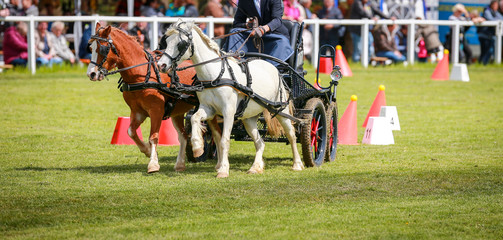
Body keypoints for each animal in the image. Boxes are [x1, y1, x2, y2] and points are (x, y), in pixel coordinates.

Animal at [86, 23, 217, 173]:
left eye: (102, 48)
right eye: (90, 47)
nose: (91, 74)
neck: (141, 74)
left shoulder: (156, 111)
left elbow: (153, 137)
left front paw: (153, 164)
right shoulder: (137, 112)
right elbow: (131, 132)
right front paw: (147, 151)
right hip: (177, 112)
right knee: (183, 136)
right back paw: (180, 164)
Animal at [158, 20, 304, 178]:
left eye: (181, 43)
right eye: (166, 41)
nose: (161, 65)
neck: (215, 75)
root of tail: (274, 68)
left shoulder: (228, 111)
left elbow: (224, 140)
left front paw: (223, 169)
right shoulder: (208, 108)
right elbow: (195, 118)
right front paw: (197, 146)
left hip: (280, 109)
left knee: (291, 134)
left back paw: (297, 164)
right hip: (249, 118)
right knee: (260, 142)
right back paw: (255, 167)